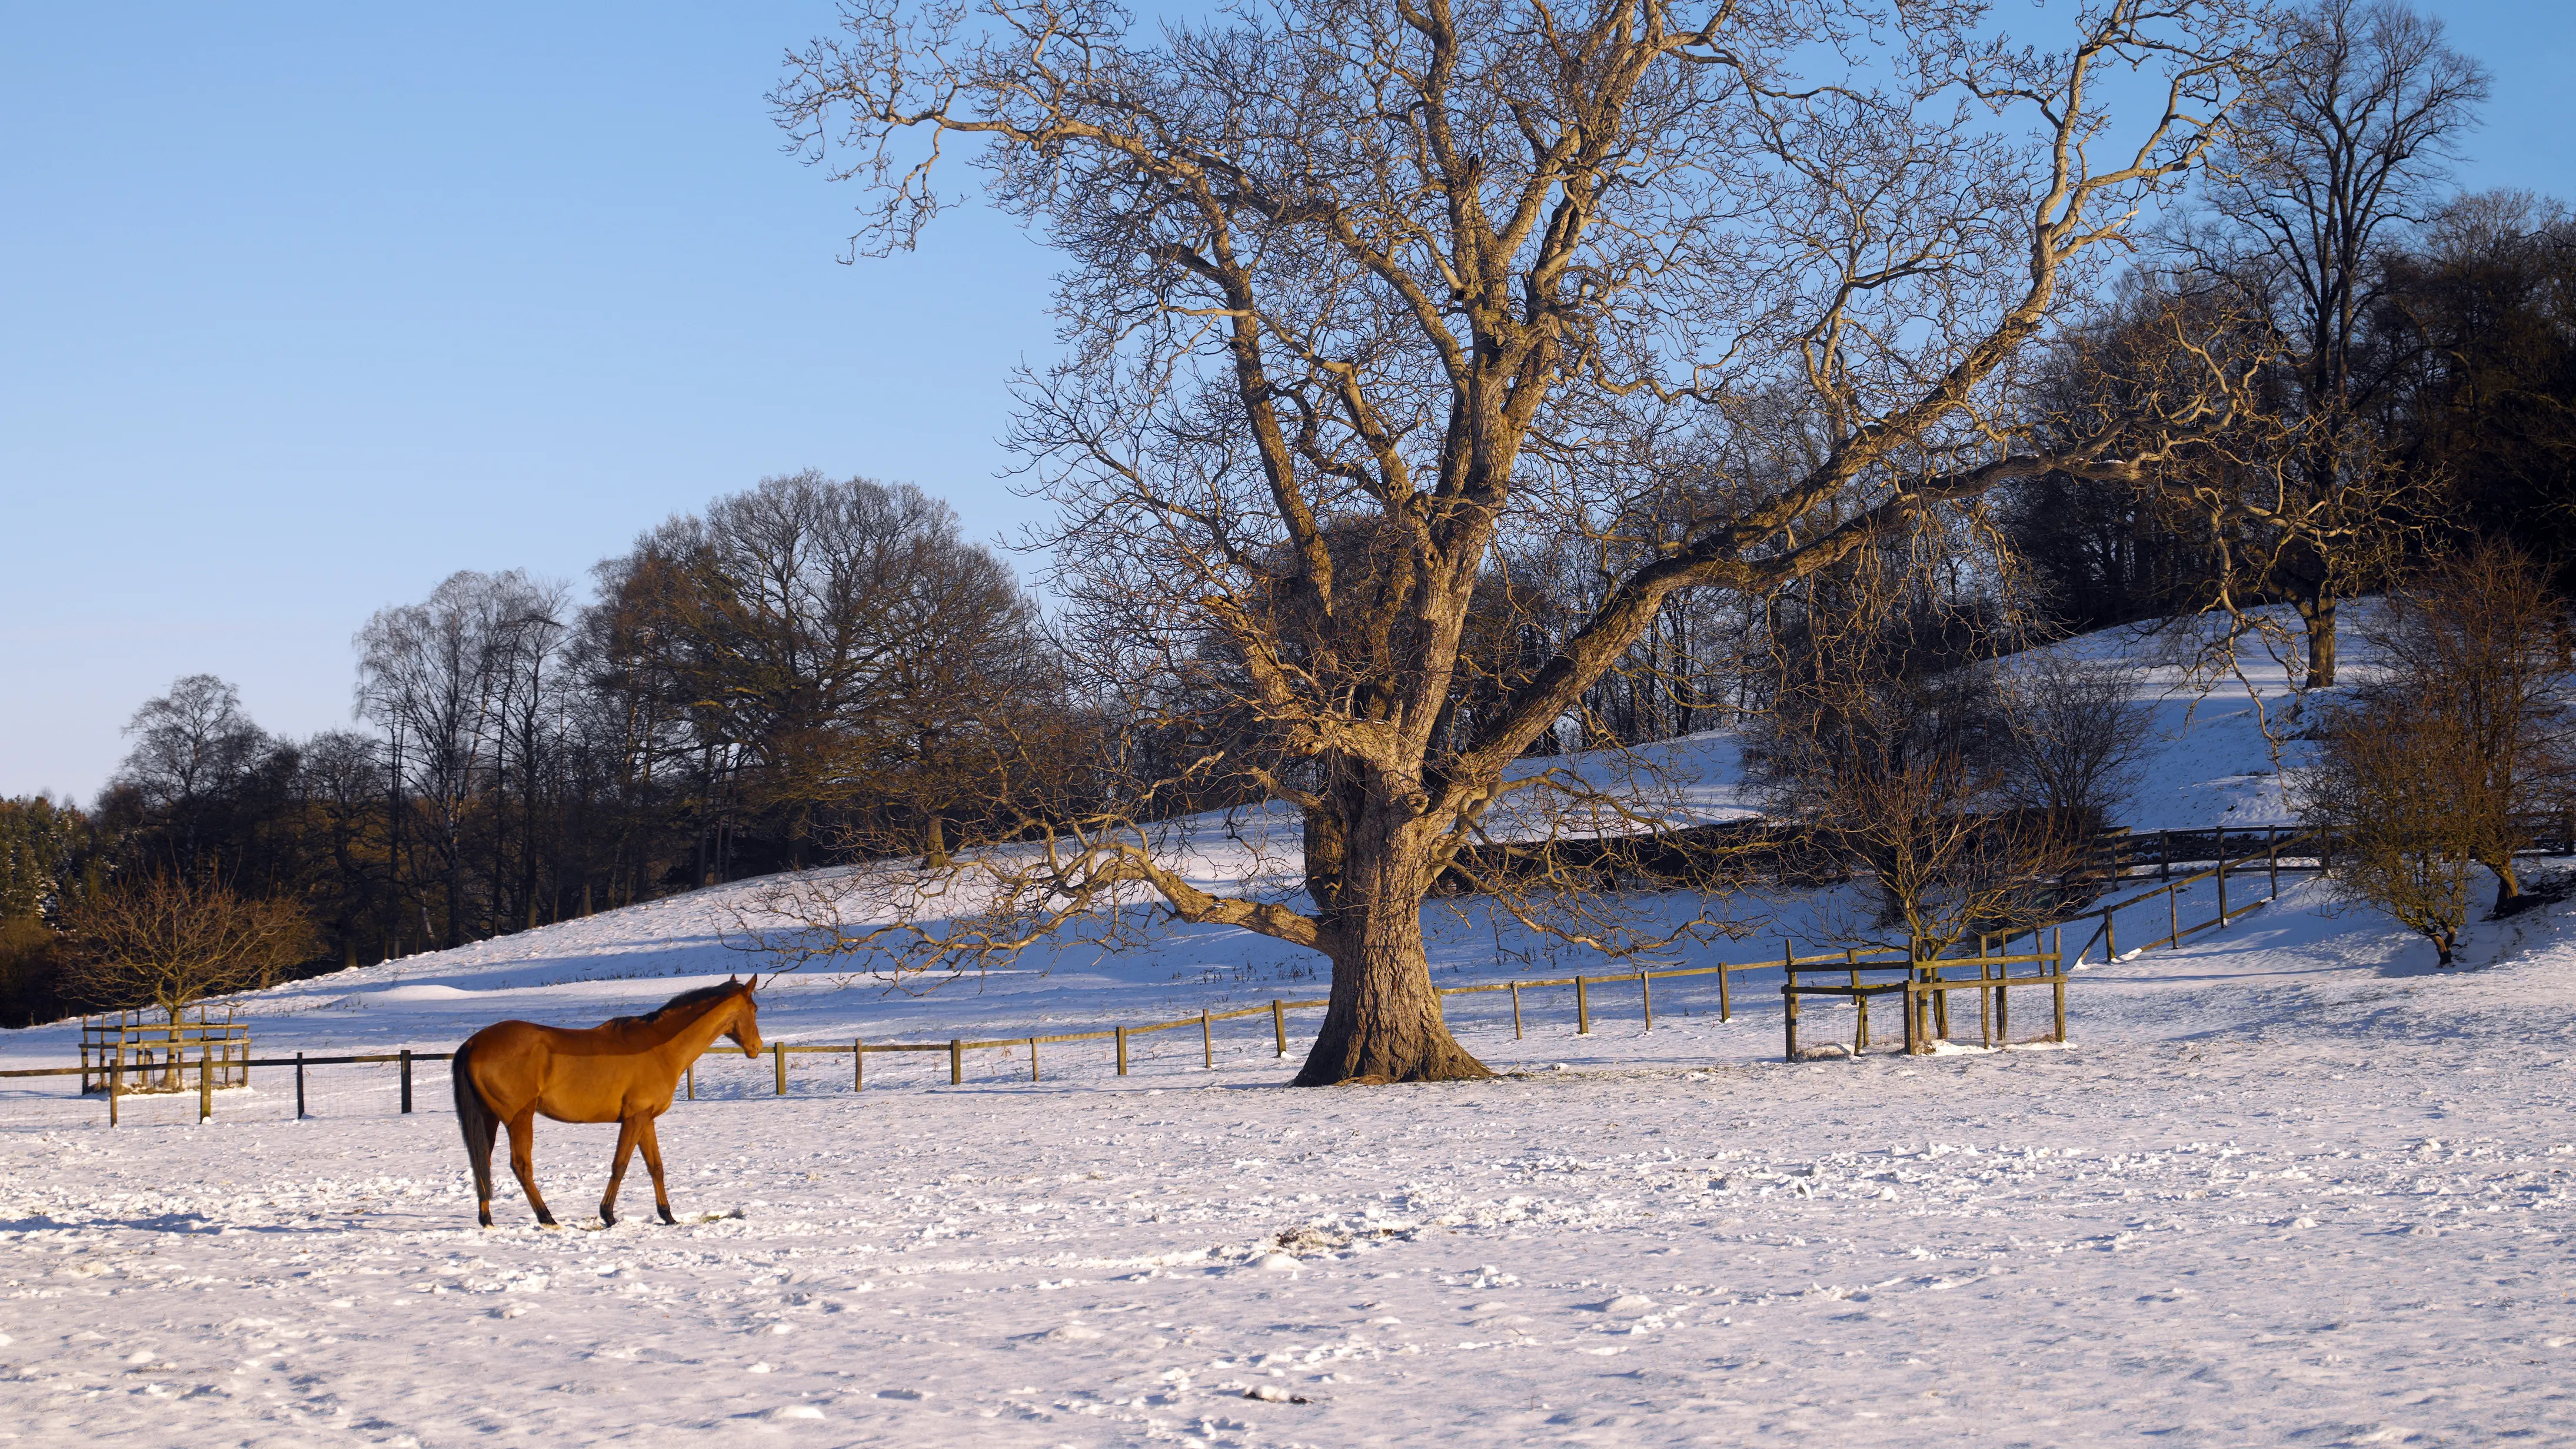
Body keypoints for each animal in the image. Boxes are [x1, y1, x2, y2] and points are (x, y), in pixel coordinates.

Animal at [451, 976, 764, 1228]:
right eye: (755, 1010)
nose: (757, 1048)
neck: (660, 1047)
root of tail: (474, 1043)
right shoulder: (634, 1119)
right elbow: (620, 1165)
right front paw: (609, 1215)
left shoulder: (645, 1120)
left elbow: (656, 1167)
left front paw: (668, 1216)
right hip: (520, 1117)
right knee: (521, 1166)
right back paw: (547, 1218)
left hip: (488, 1118)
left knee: (482, 1162)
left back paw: (487, 1220)